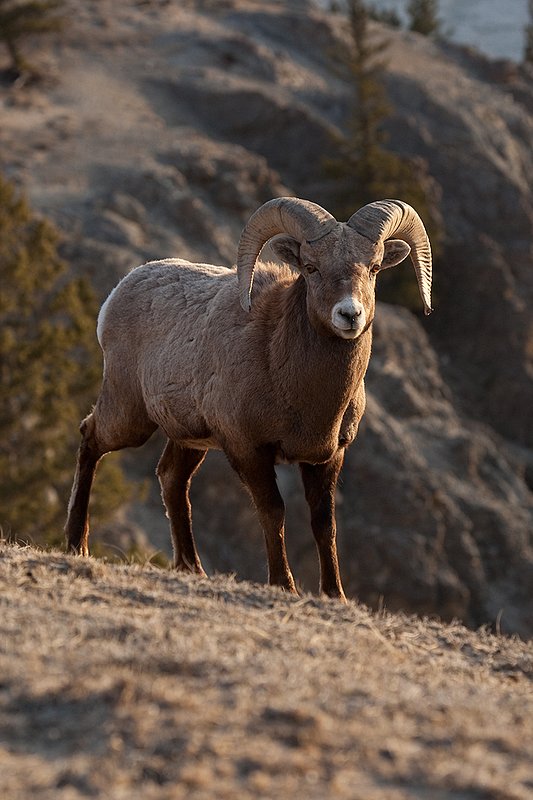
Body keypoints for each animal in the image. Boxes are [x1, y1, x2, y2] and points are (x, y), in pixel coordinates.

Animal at [65, 196, 432, 600]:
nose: (349, 314)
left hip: (190, 439)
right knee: (90, 438)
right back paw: (77, 545)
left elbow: (324, 523)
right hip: (129, 417)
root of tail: (119, 293)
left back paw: (192, 568)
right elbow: (273, 512)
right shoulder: (249, 450)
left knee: (171, 478)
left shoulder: (328, 456)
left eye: (374, 267)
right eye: (311, 267)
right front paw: (284, 585)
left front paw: (335, 594)